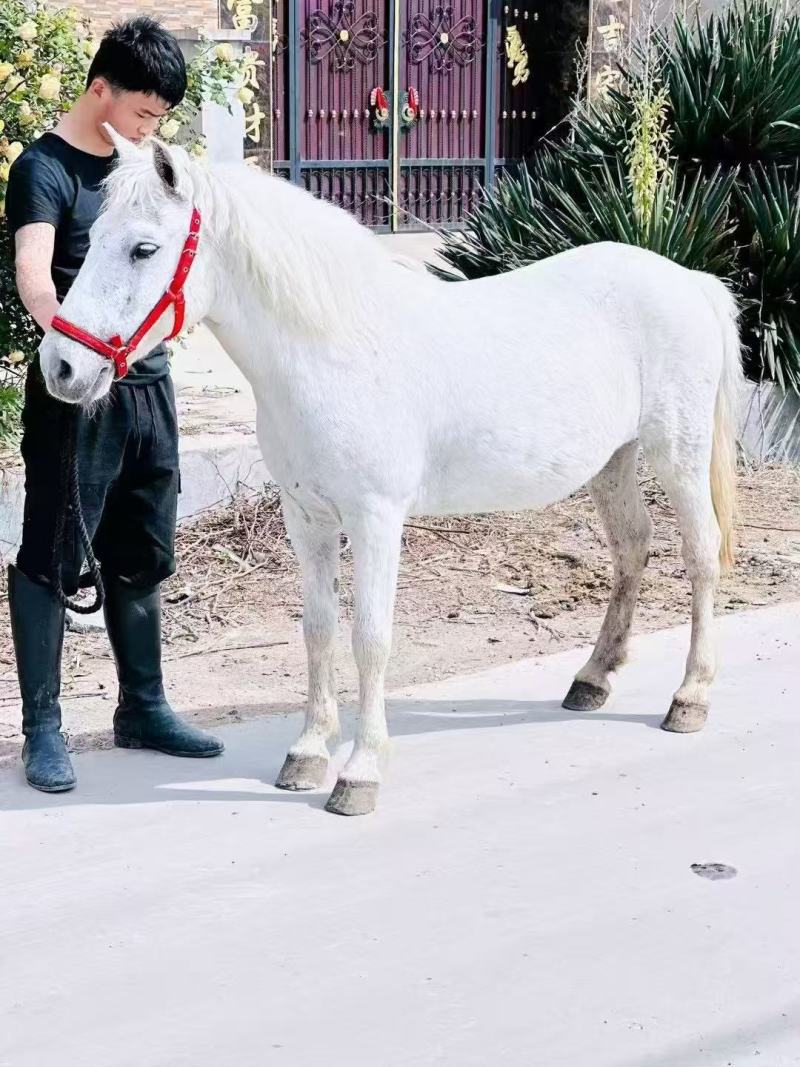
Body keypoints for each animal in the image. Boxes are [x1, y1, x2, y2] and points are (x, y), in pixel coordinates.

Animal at [39, 129, 743, 816]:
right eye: (93, 238)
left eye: (143, 249)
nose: (61, 368)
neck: (337, 348)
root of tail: (689, 280)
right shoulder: (307, 518)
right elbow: (318, 630)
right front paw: (307, 754)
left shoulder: (375, 518)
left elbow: (369, 637)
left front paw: (360, 772)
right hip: (613, 461)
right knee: (632, 548)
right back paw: (592, 679)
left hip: (676, 454)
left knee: (701, 556)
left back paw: (690, 697)